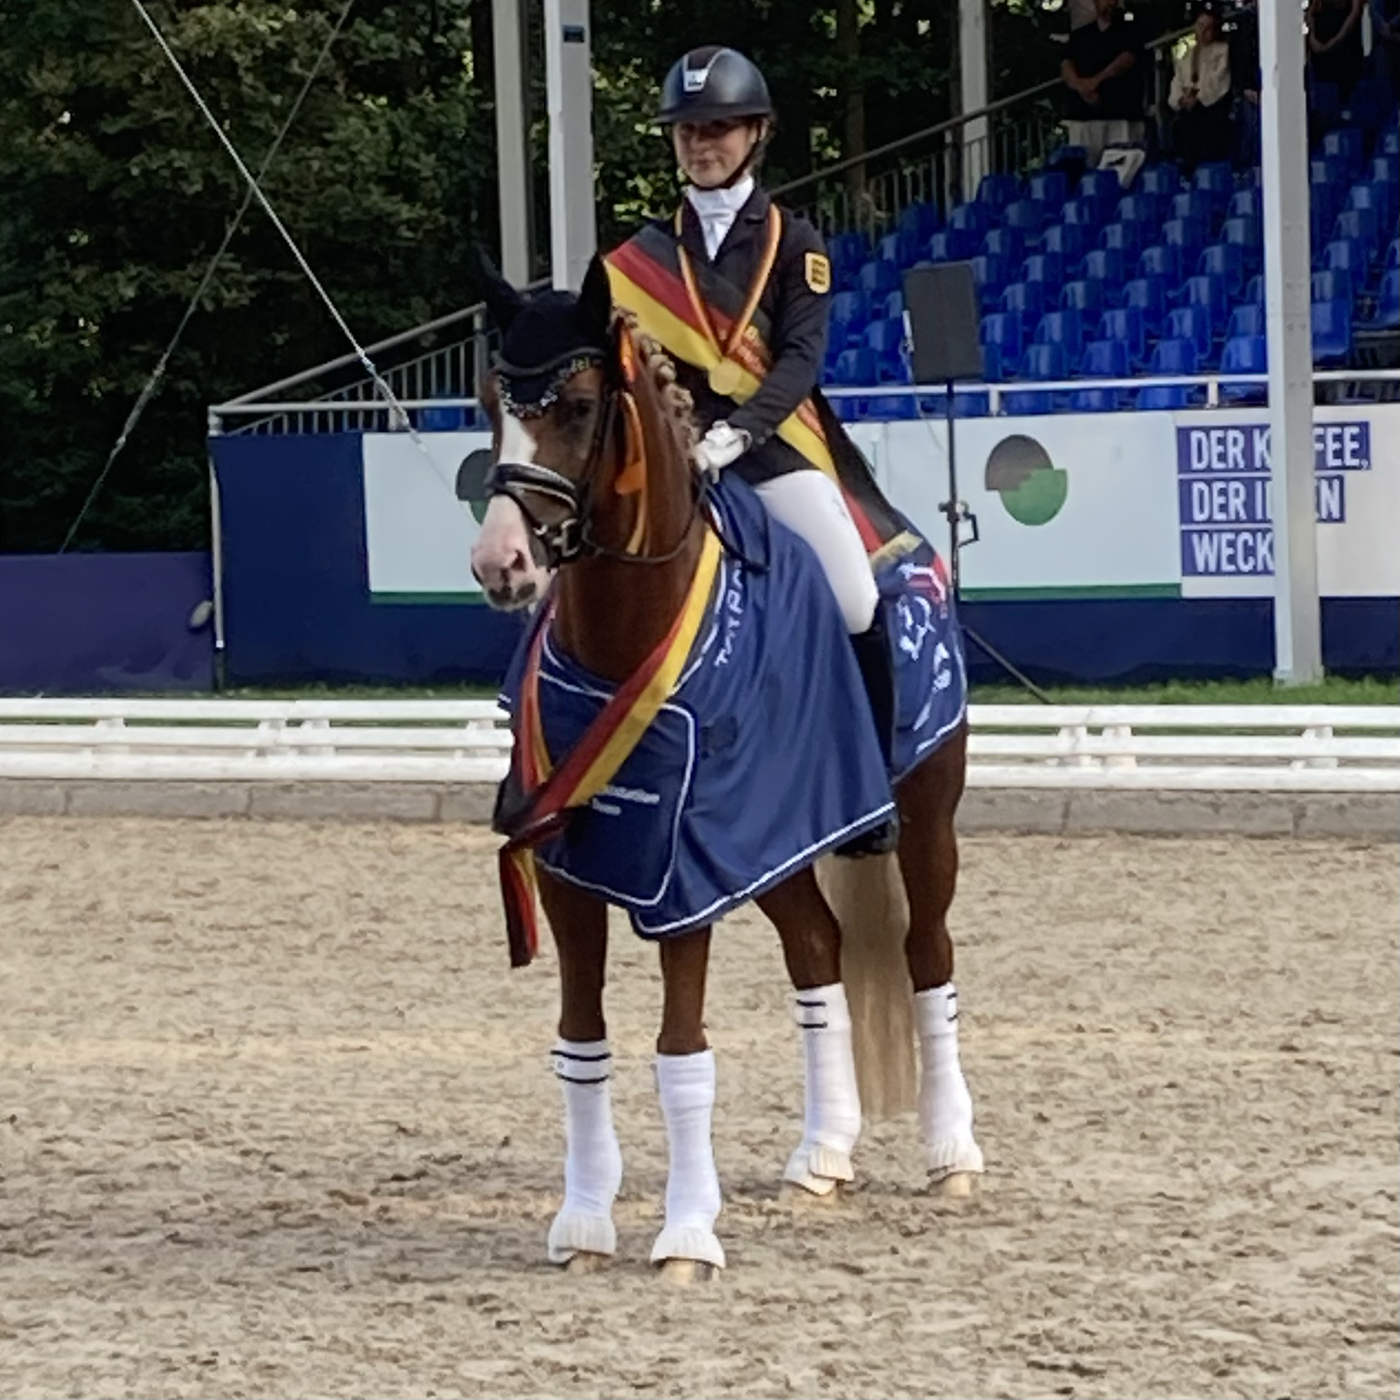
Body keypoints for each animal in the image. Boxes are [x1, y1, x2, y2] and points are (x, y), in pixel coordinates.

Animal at [464, 252, 980, 1282]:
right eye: (492, 401)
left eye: (579, 405)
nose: (502, 564)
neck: (631, 635)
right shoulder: (574, 869)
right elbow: (580, 1044)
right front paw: (584, 1222)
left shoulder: (684, 877)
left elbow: (681, 1053)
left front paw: (686, 1236)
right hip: (778, 842)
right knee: (818, 955)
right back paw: (822, 1157)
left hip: (924, 818)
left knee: (926, 956)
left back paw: (952, 1155)